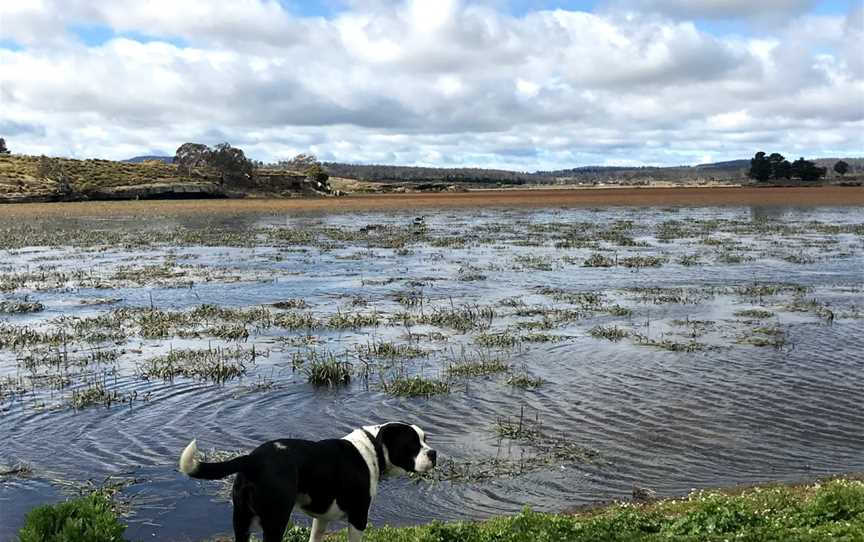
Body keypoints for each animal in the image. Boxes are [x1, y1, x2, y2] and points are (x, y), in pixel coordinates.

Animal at [176, 424, 436, 542]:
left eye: (425, 438)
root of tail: (252, 460)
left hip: (241, 521)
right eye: (412, 444)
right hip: (275, 521)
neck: (372, 447)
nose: (434, 453)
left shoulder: (320, 518)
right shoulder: (358, 517)